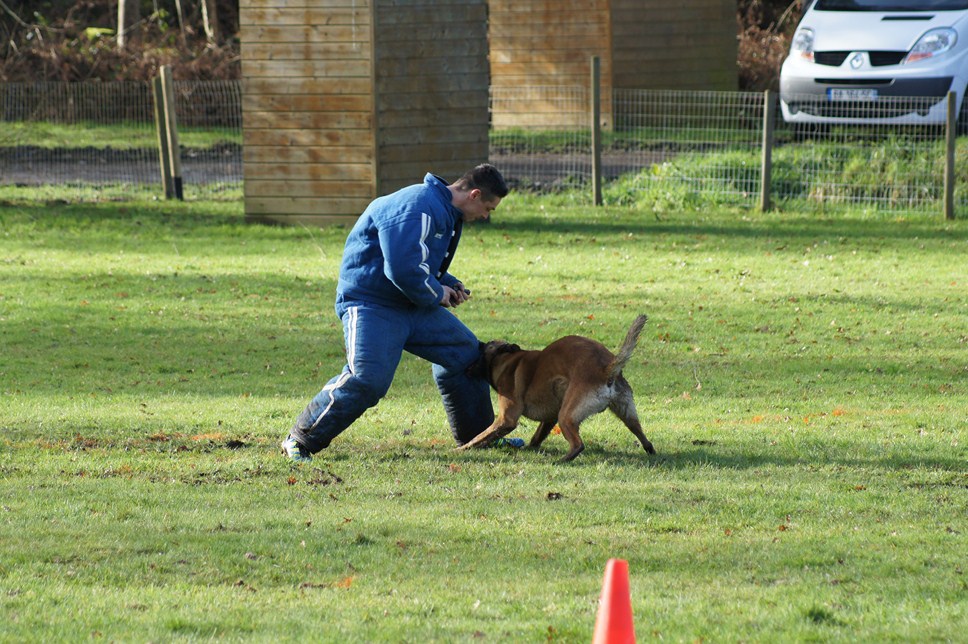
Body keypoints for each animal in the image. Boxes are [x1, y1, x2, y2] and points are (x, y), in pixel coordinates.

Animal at [456, 314, 656, 460]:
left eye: (485, 347)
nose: (478, 342)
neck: (507, 361)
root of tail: (606, 368)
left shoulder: (506, 419)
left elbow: (480, 437)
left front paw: (461, 449)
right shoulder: (549, 418)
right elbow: (537, 436)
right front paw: (530, 448)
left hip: (566, 416)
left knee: (578, 444)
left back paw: (563, 460)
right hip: (626, 413)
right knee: (641, 435)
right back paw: (651, 452)